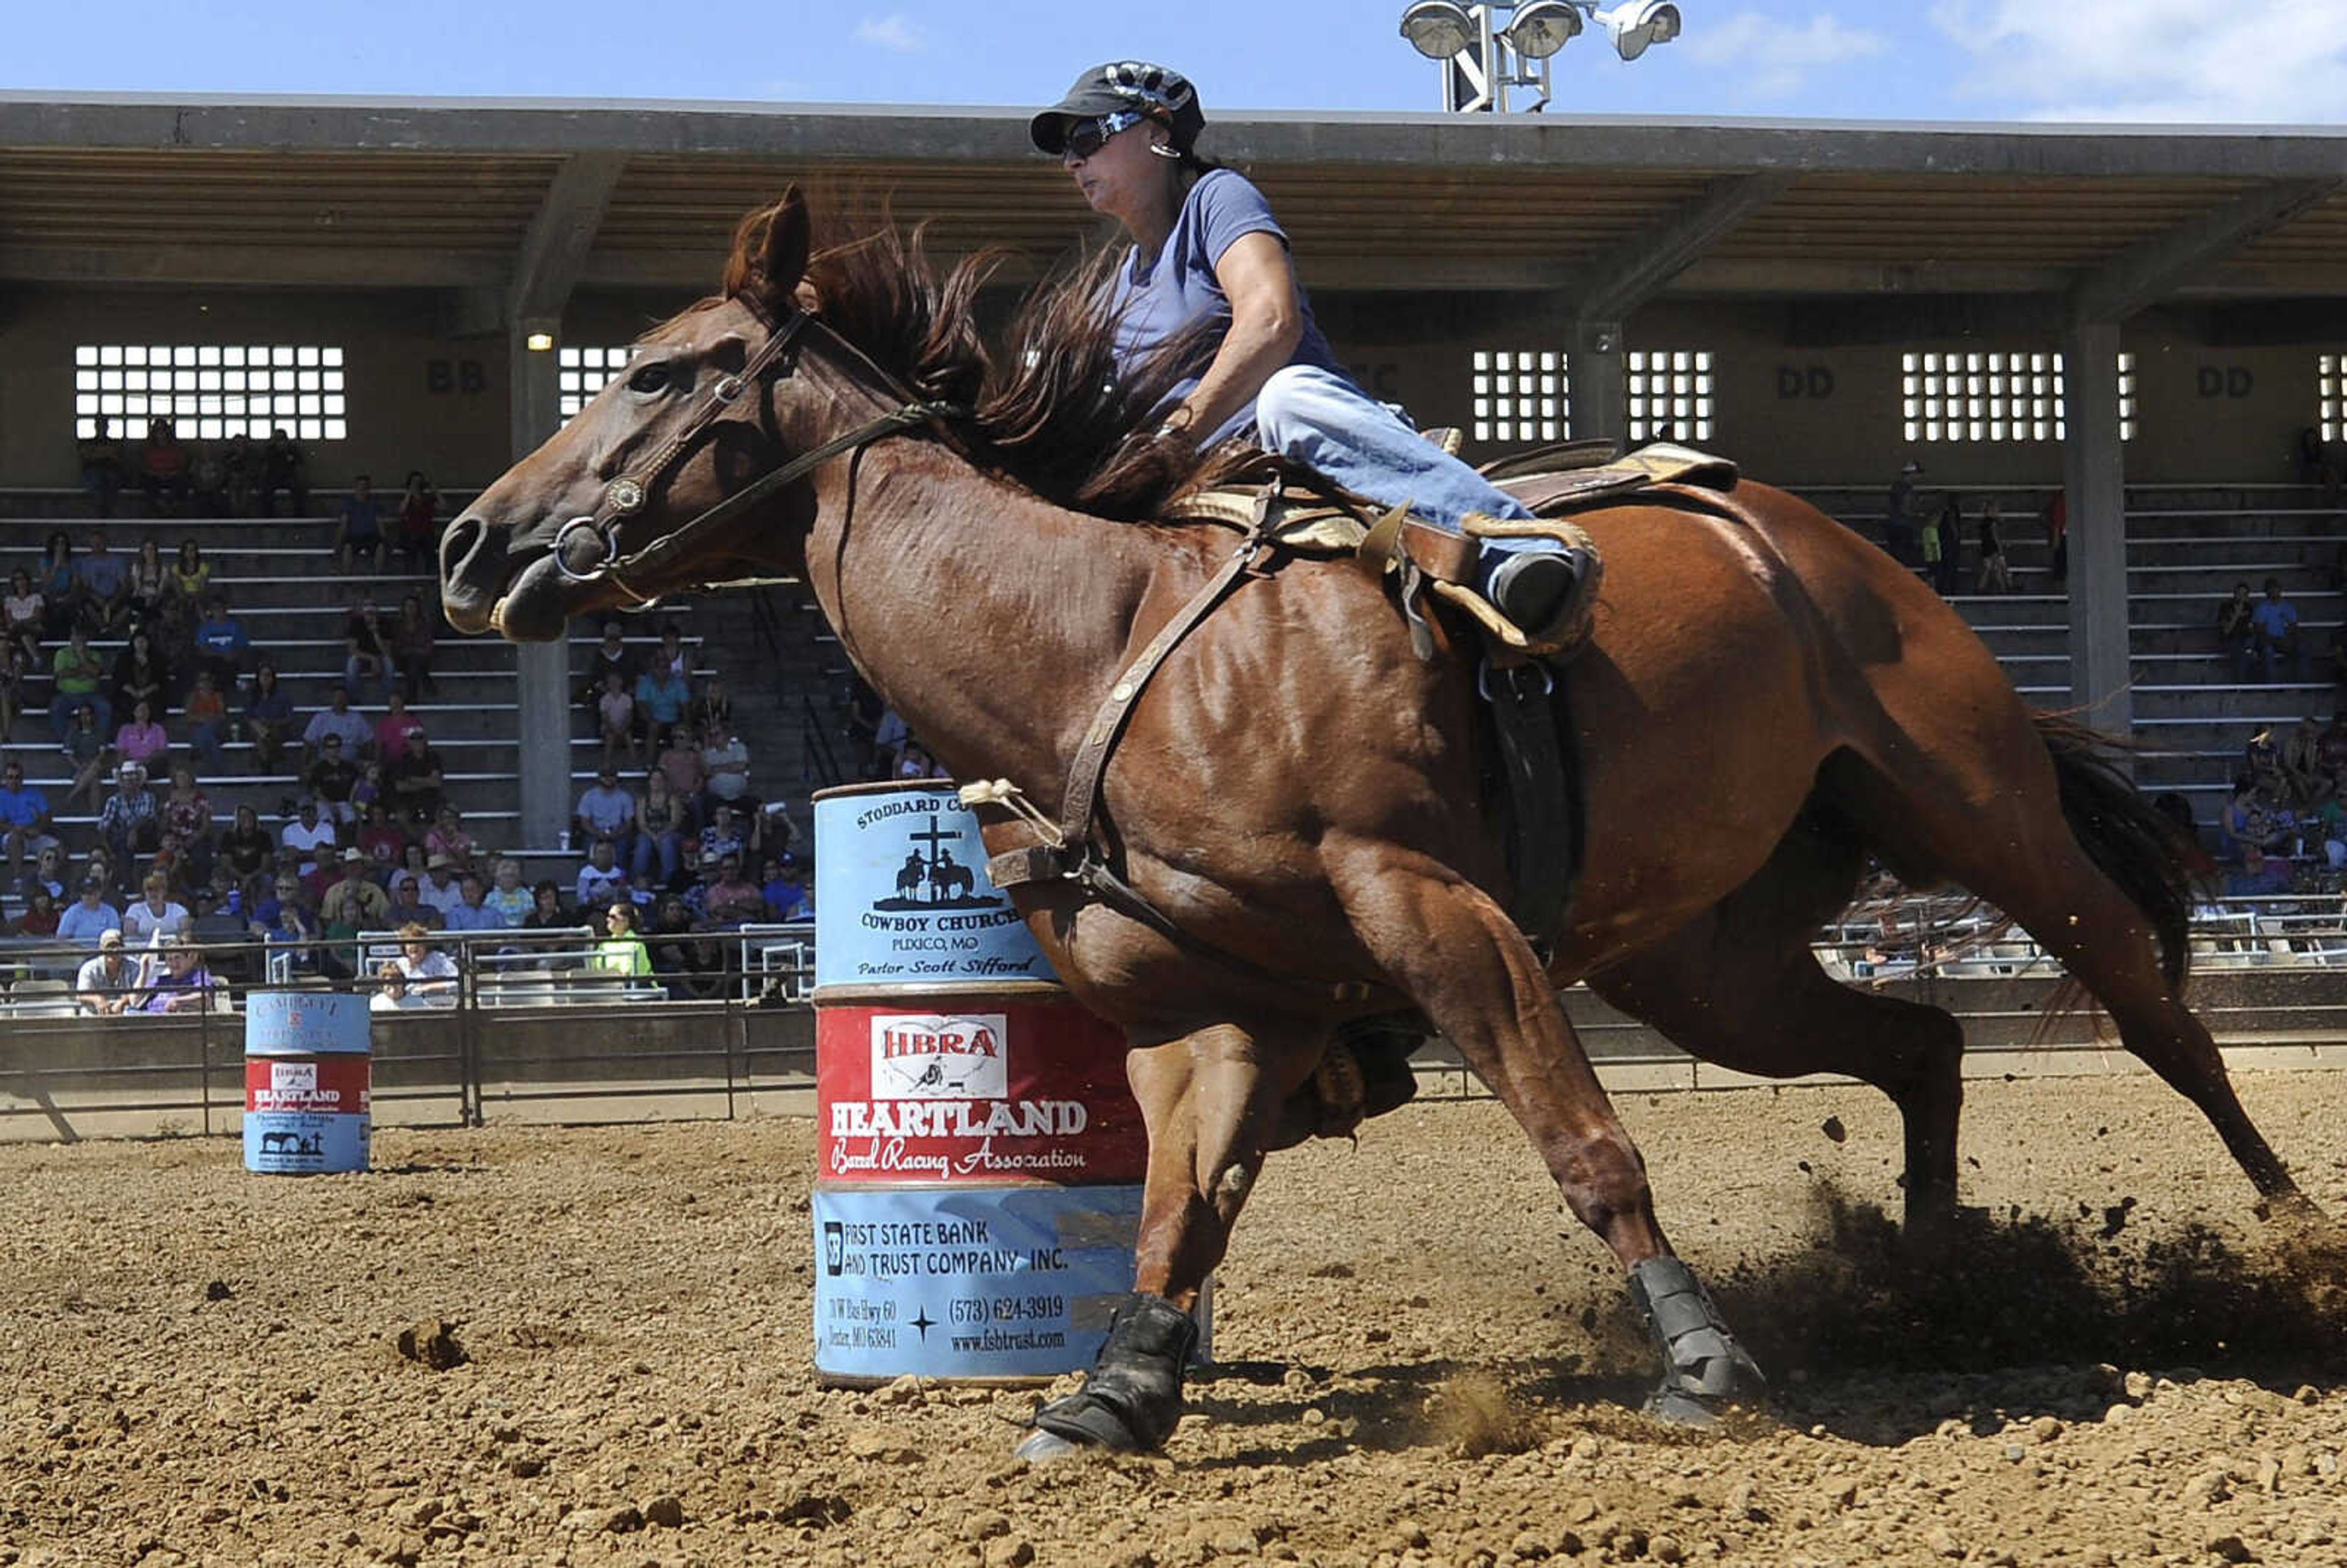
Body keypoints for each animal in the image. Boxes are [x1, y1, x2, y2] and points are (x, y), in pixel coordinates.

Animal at [441, 192, 2309, 1455]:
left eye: (662, 373)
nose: (470, 543)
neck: (1108, 636)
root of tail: (1810, 535)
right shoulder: (1212, 1001)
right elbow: (1181, 1205)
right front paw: (1113, 1389)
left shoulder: (1428, 901)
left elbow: (1582, 1138)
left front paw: (1701, 1363)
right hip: (1712, 962)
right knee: (1920, 1039)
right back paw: (1927, 1281)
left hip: (1978, 805)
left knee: (2152, 1007)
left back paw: (2293, 1240)